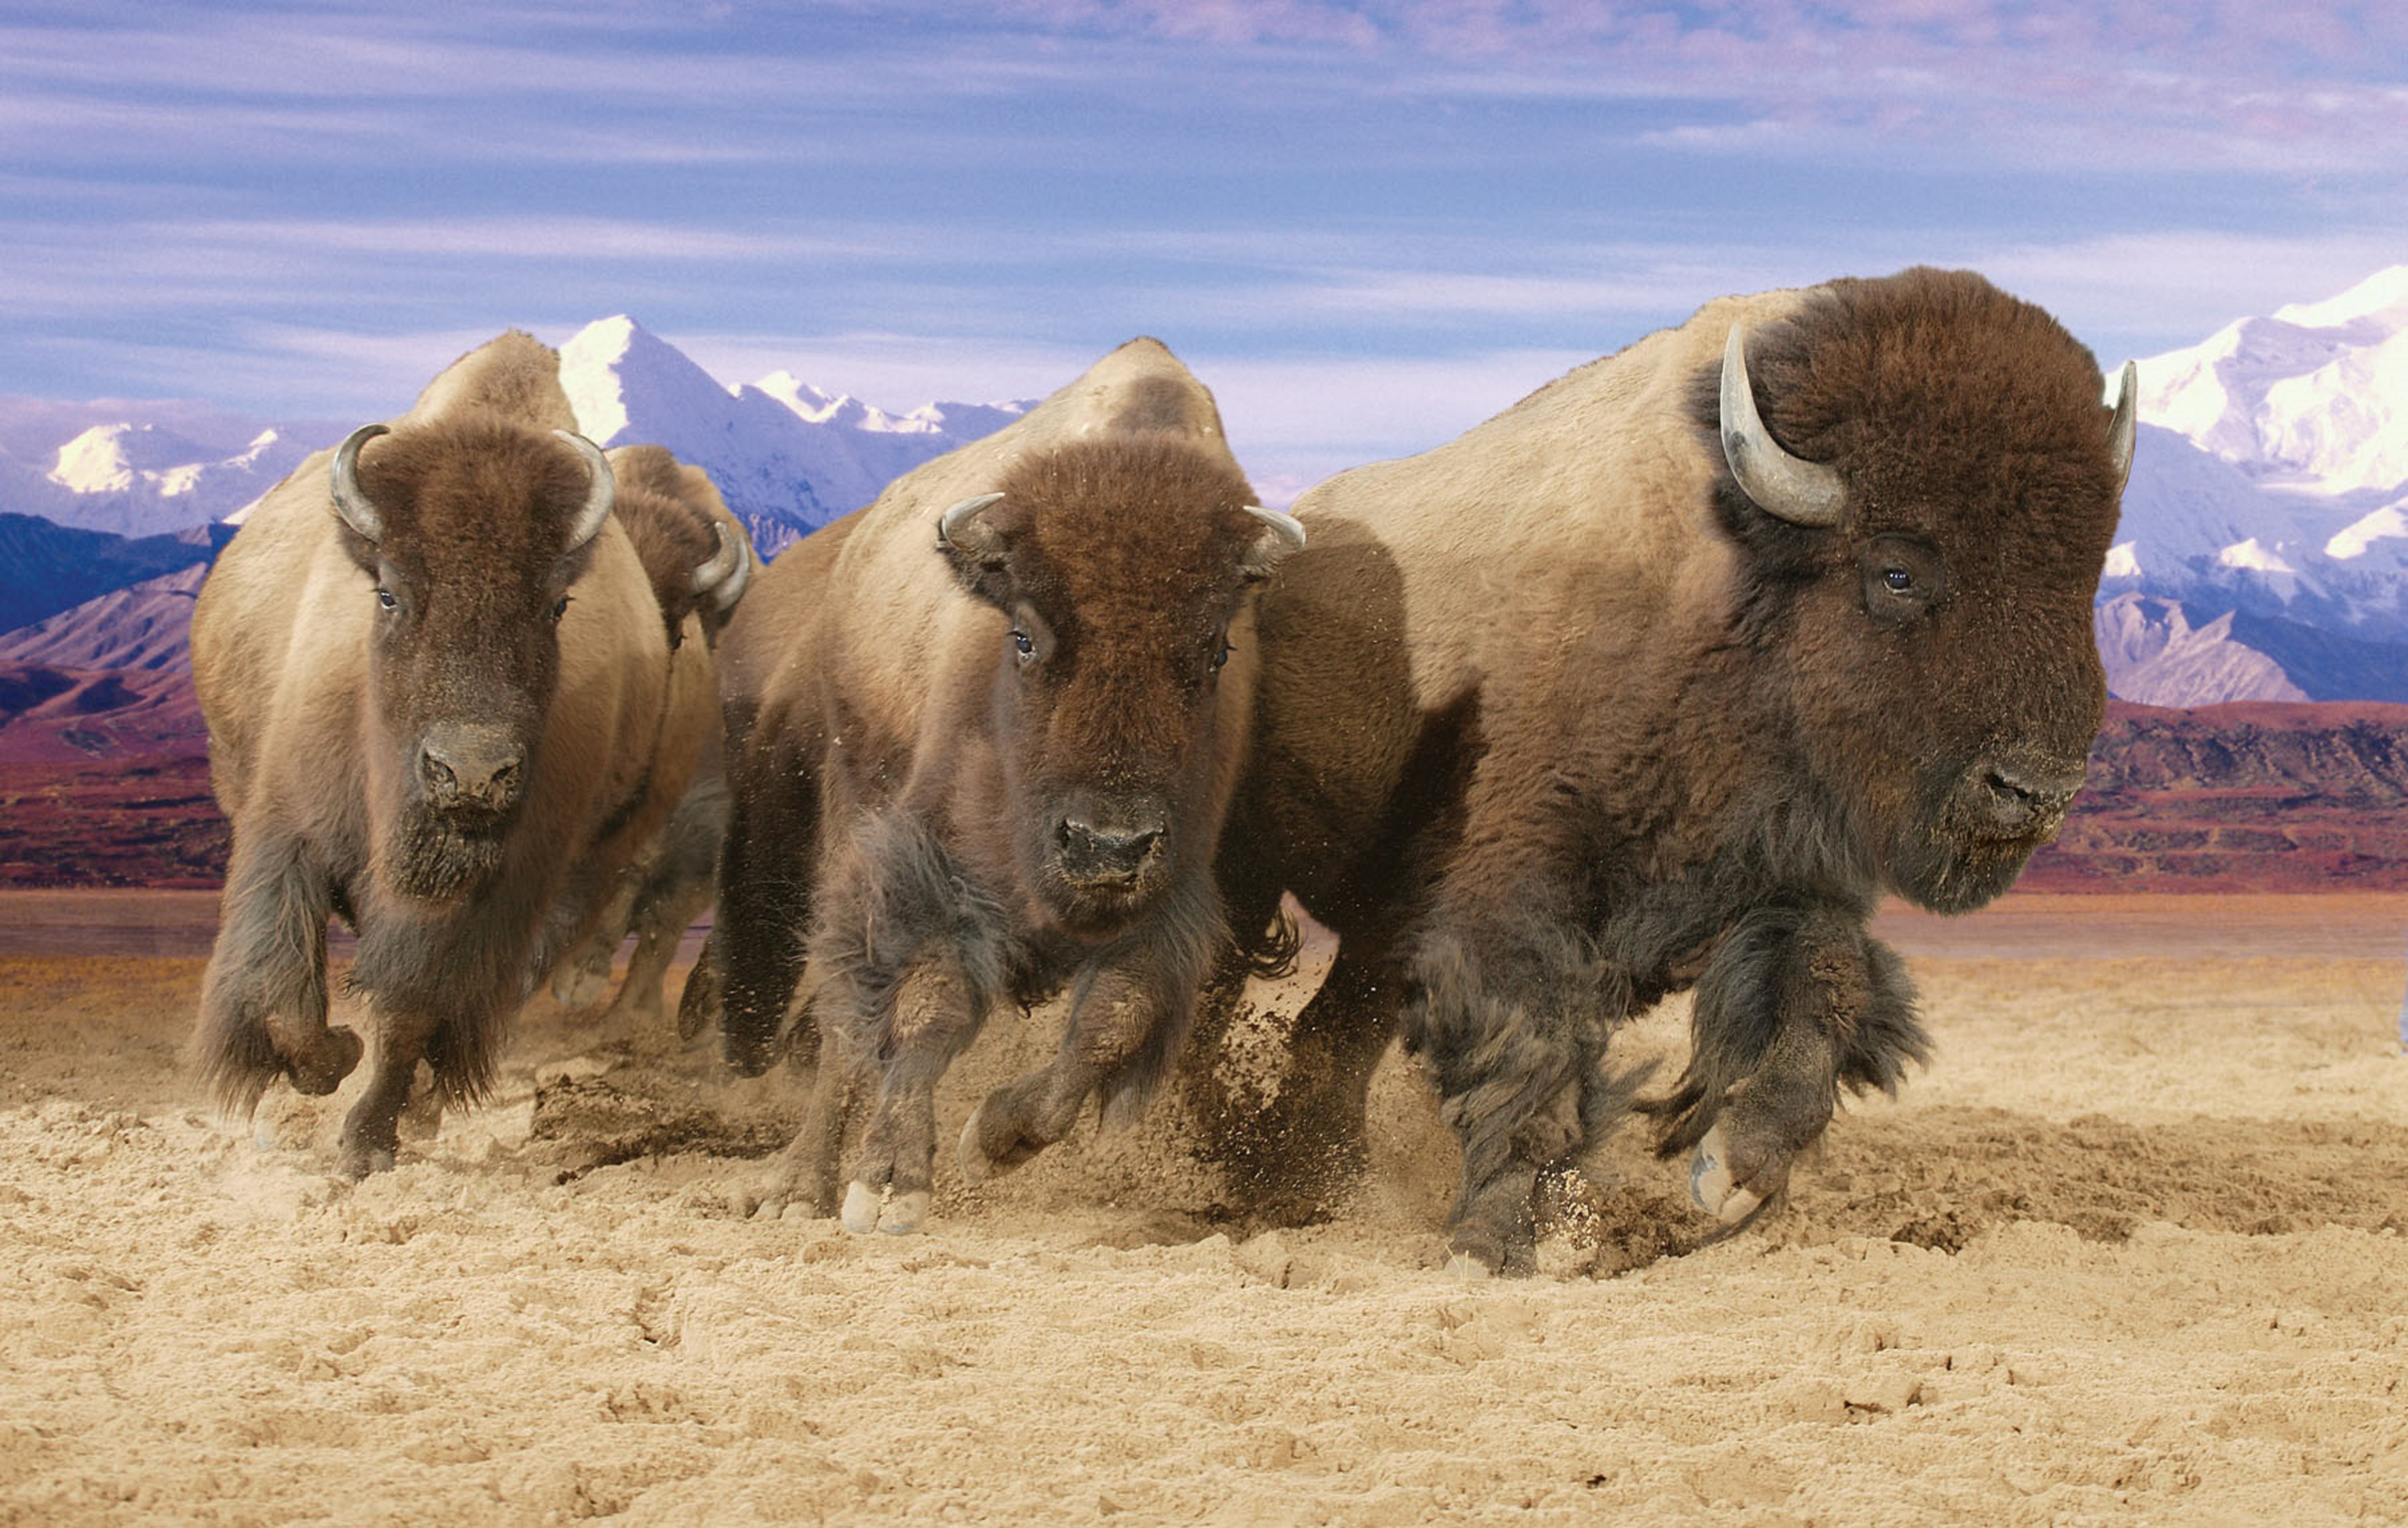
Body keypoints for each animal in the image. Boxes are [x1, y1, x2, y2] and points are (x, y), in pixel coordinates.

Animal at [190, 332, 724, 1175]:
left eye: (555, 604)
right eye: (389, 592)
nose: (470, 774)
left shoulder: (493, 894)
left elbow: (415, 1009)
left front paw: (370, 1139)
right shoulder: (288, 832)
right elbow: (282, 995)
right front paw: (330, 1062)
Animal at [713, 340, 1304, 1233]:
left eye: (1214, 651)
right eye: (1022, 635)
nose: (1105, 844)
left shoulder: (1168, 899)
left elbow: (1108, 1026)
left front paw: (993, 1139)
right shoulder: (937, 875)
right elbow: (929, 1009)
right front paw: (888, 1187)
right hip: (855, 808)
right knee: (844, 1018)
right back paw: (797, 1187)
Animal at [1192, 268, 2136, 1272]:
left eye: (2085, 571)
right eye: (1897, 572)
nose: (2035, 790)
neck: (1731, 582)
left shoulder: (1782, 879)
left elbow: (1827, 992)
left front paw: (1733, 1177)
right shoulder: (1521, 884)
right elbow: (1527, 1047)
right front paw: (1493, 1243)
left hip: (1376, 927)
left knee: (1331, 1033)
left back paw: (1305, 1180)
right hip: (1249, 872)